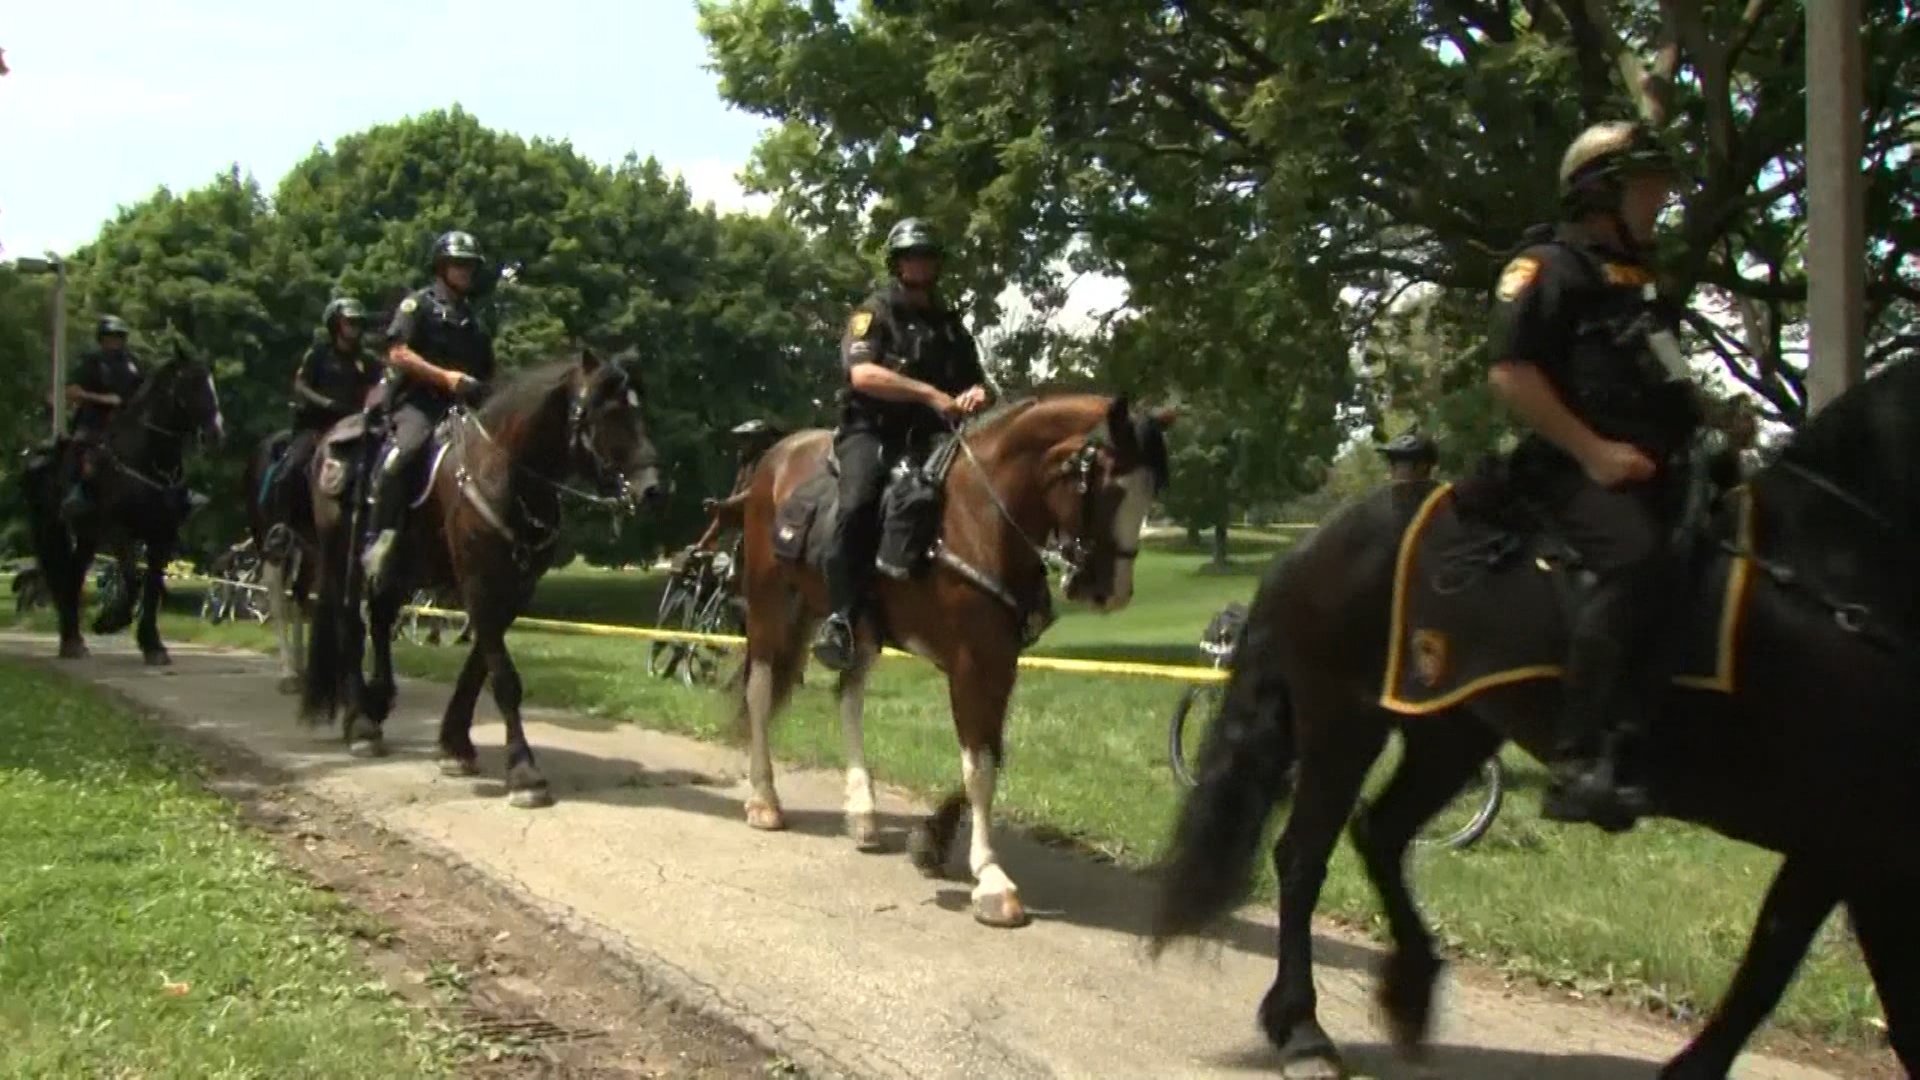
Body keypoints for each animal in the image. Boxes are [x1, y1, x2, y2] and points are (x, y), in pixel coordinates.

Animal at [22, 349, 224, 661]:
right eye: (191, 384)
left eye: (211, 383)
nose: (215, 433)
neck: (148, 460)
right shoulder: (118, 531)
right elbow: (132, 580)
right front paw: (110, 621)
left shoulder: (162, 535)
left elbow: (152, 586)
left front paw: (153, 645)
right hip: (54, 527)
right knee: (66, 576)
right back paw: (71, 641)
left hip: (87, 536)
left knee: (74, 576)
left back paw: (74, 640)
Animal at [295, 349, 664, 803]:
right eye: (608, 412)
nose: (652, 490)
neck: (506, 473)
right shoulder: (479, 583)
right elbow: (503, 677)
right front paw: (523, 770)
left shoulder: (516, 589)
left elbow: (477, 669)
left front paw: (455, 745)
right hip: (338, 557)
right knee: (349, 623)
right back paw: (361, 723)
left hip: (401, 568)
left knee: (379, 621)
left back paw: (379, 700)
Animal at [725, 395, 1167, 926]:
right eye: (1102, 482)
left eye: (1150, 490)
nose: (1110, 592)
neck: (978, 520)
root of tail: (776, 456)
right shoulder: (971, 661)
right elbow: (979, 767)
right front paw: (992, 882)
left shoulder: (1000, 662)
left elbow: (991, 754)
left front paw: (931, 841)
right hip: (770, 602)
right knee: (759, 693)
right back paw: (764, 800)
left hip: (859, 630)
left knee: (848, 699)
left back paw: (863, 814)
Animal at [1144, 357, 1920, 1068]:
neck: (1834, 561)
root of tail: (1316, 543)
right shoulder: (1845, 837)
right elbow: (1776, 975)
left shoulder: (1861, 848)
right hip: (1345, 723)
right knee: (1304, 855)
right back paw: (1303, 1026)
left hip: (1450, 733)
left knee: (1381, 833)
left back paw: (1410, 991)